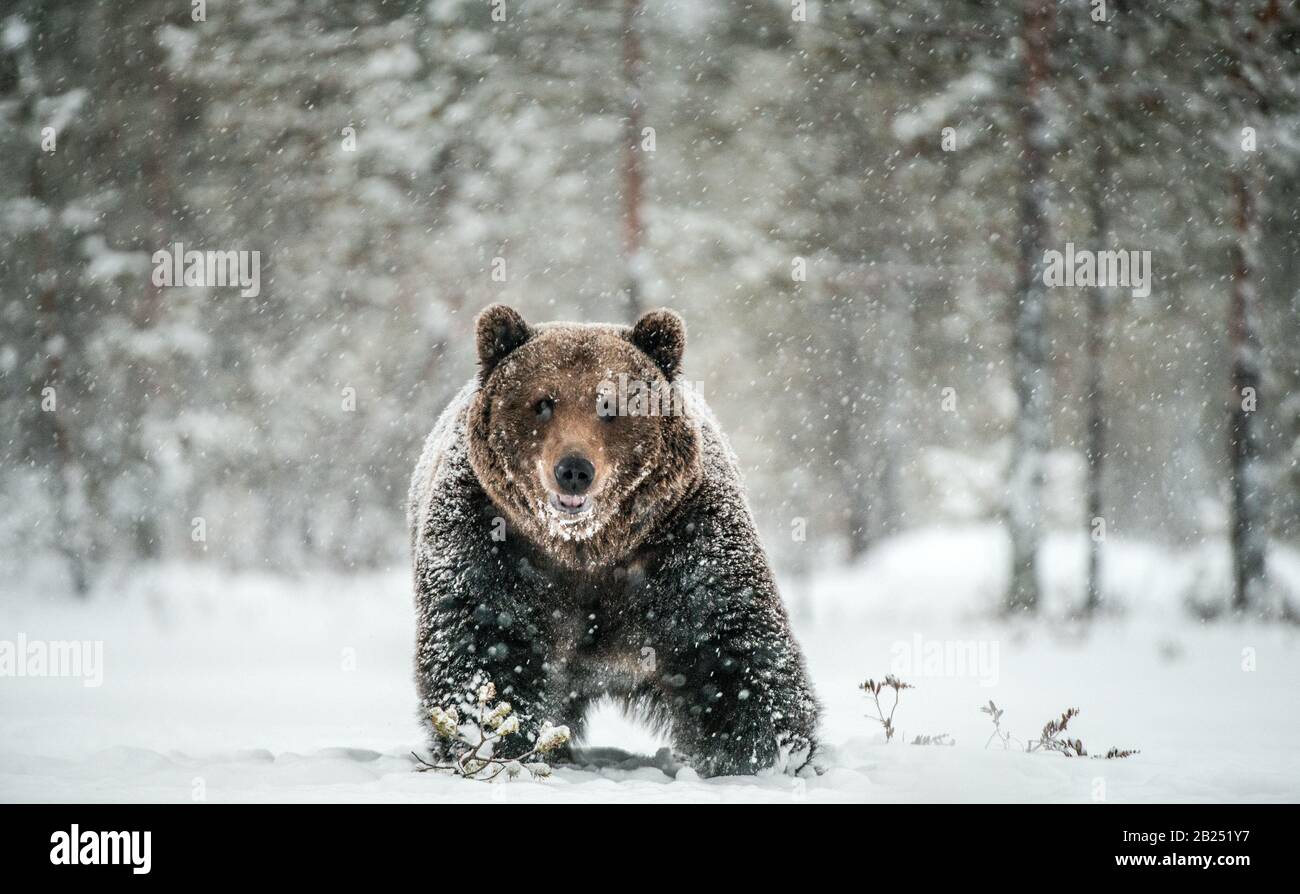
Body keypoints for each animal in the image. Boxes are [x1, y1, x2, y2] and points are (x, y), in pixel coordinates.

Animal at [405, 305, 816, 774]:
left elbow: (729, 643)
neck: (588, 548)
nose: (574, 469)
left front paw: (765, 753)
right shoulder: (491, 537)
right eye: (543, 402)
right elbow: (485, 643)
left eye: (609, 403)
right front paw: (495, 744)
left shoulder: (685, 539)